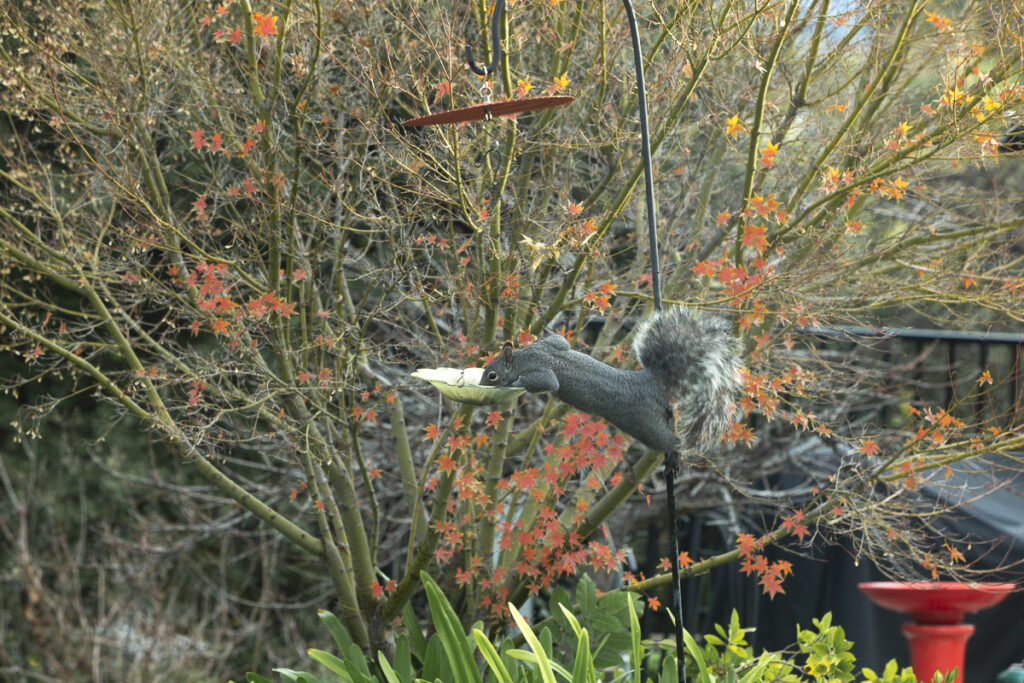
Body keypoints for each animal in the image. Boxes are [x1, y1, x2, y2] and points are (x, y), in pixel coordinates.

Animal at [481, 306, 743, 453]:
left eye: (492, 375)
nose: (482, 384)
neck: (521, 358)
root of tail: (651, 383)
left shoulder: (539, 368)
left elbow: (550, 383)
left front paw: (516, 384)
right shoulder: (551, 346)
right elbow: (559, 340)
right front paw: (545, 324)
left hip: (643, 423)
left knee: (666, 440)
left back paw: (674, 454)